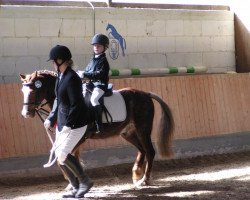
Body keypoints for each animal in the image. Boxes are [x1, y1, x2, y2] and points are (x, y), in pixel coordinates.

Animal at [20, 70, 174, 186]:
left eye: (34, 90)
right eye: (23, 91)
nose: (26, 113)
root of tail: (146, 94)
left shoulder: (81, 137)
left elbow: (66, 157)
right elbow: (69, 157)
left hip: (143, 129)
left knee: (150, 151)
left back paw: (144, 180)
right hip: (128, 133)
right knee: (142, 150)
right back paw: (137, 174)